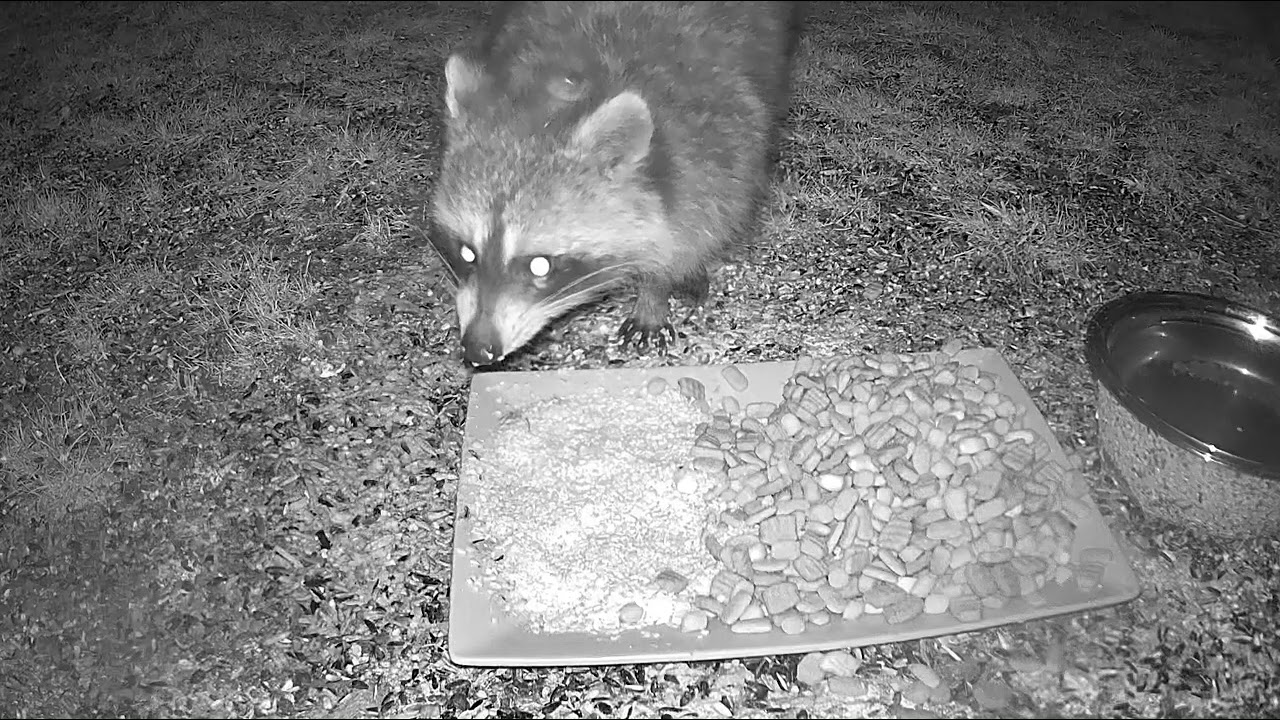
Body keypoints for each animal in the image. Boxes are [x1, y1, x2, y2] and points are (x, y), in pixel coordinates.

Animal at [428, 1, 805, 366]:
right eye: (466, 252)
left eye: (540, 265)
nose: (477, 350)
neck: (563, 89)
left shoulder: (714, 144)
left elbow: (696, 224)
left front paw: (656, 290)